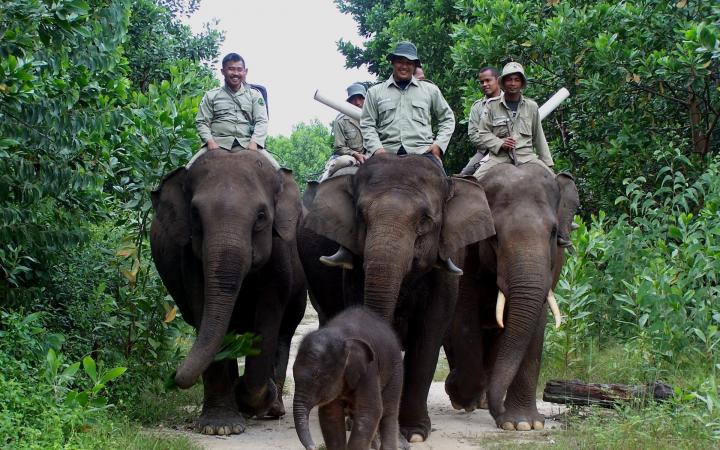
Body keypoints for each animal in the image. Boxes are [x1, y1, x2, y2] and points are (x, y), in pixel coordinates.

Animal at [149, 152, 306, 436]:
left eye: (261, 216)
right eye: (195, 215)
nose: (173, 378)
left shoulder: (280, 255)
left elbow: (268, 315)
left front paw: (255, 397)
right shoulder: (189, 259)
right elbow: (203, 310)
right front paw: (220, 427)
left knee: (285, 331)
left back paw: (273, 409)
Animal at [294, 308, 404, 450]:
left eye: (318, 375)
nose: (313, 446)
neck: (341, 334)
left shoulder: (369, 370)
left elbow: (369, 411)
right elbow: (330, 414)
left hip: (395, 370)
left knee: (389, 412)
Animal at [444, 163, 580, 430]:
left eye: (553, 232)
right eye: (494, 236)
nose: (499, 414)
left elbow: (536, 324)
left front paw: (523, 424)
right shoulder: (466, 255)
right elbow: (464, 319)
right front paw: (458, 392)